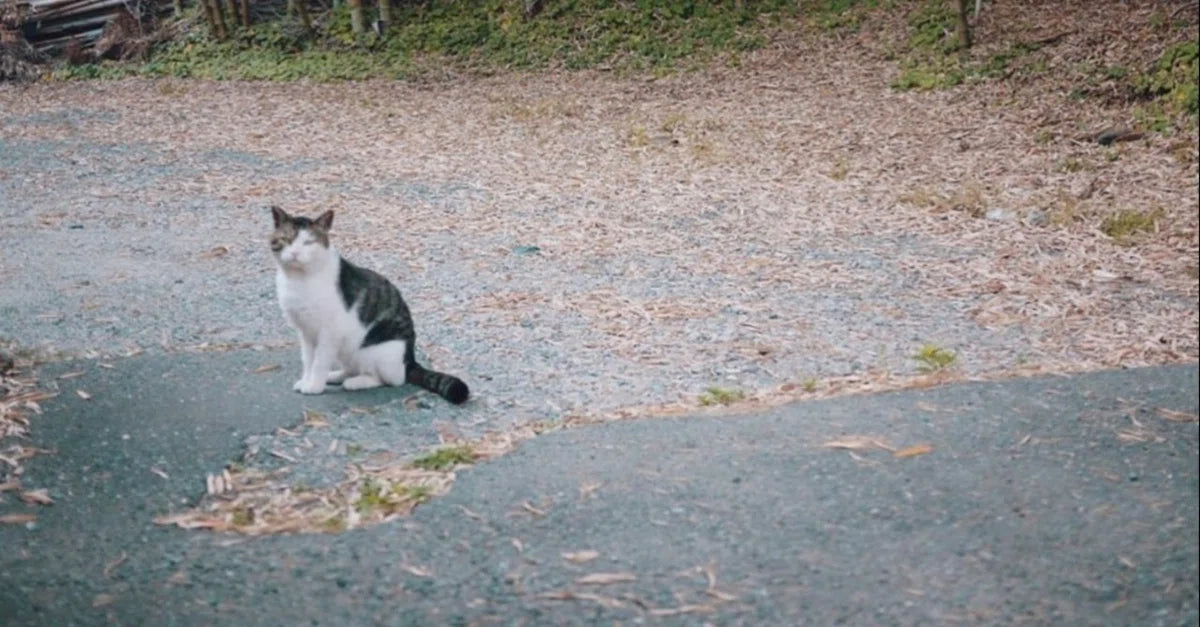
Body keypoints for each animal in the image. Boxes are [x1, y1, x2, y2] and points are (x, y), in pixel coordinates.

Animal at [267, 202, 468, 403]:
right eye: (286, 239)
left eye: (308, 243)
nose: (295, 253)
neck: (299, 280)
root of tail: (410, 360)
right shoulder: (306, 331)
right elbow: (308, 360)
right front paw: (306, 380)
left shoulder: (330, 332)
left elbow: (320, 362)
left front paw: (314, 386)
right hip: (348, 350)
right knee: (352, 368)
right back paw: (336, 376)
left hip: (375, 351)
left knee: (390, 379)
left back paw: (355, 383)